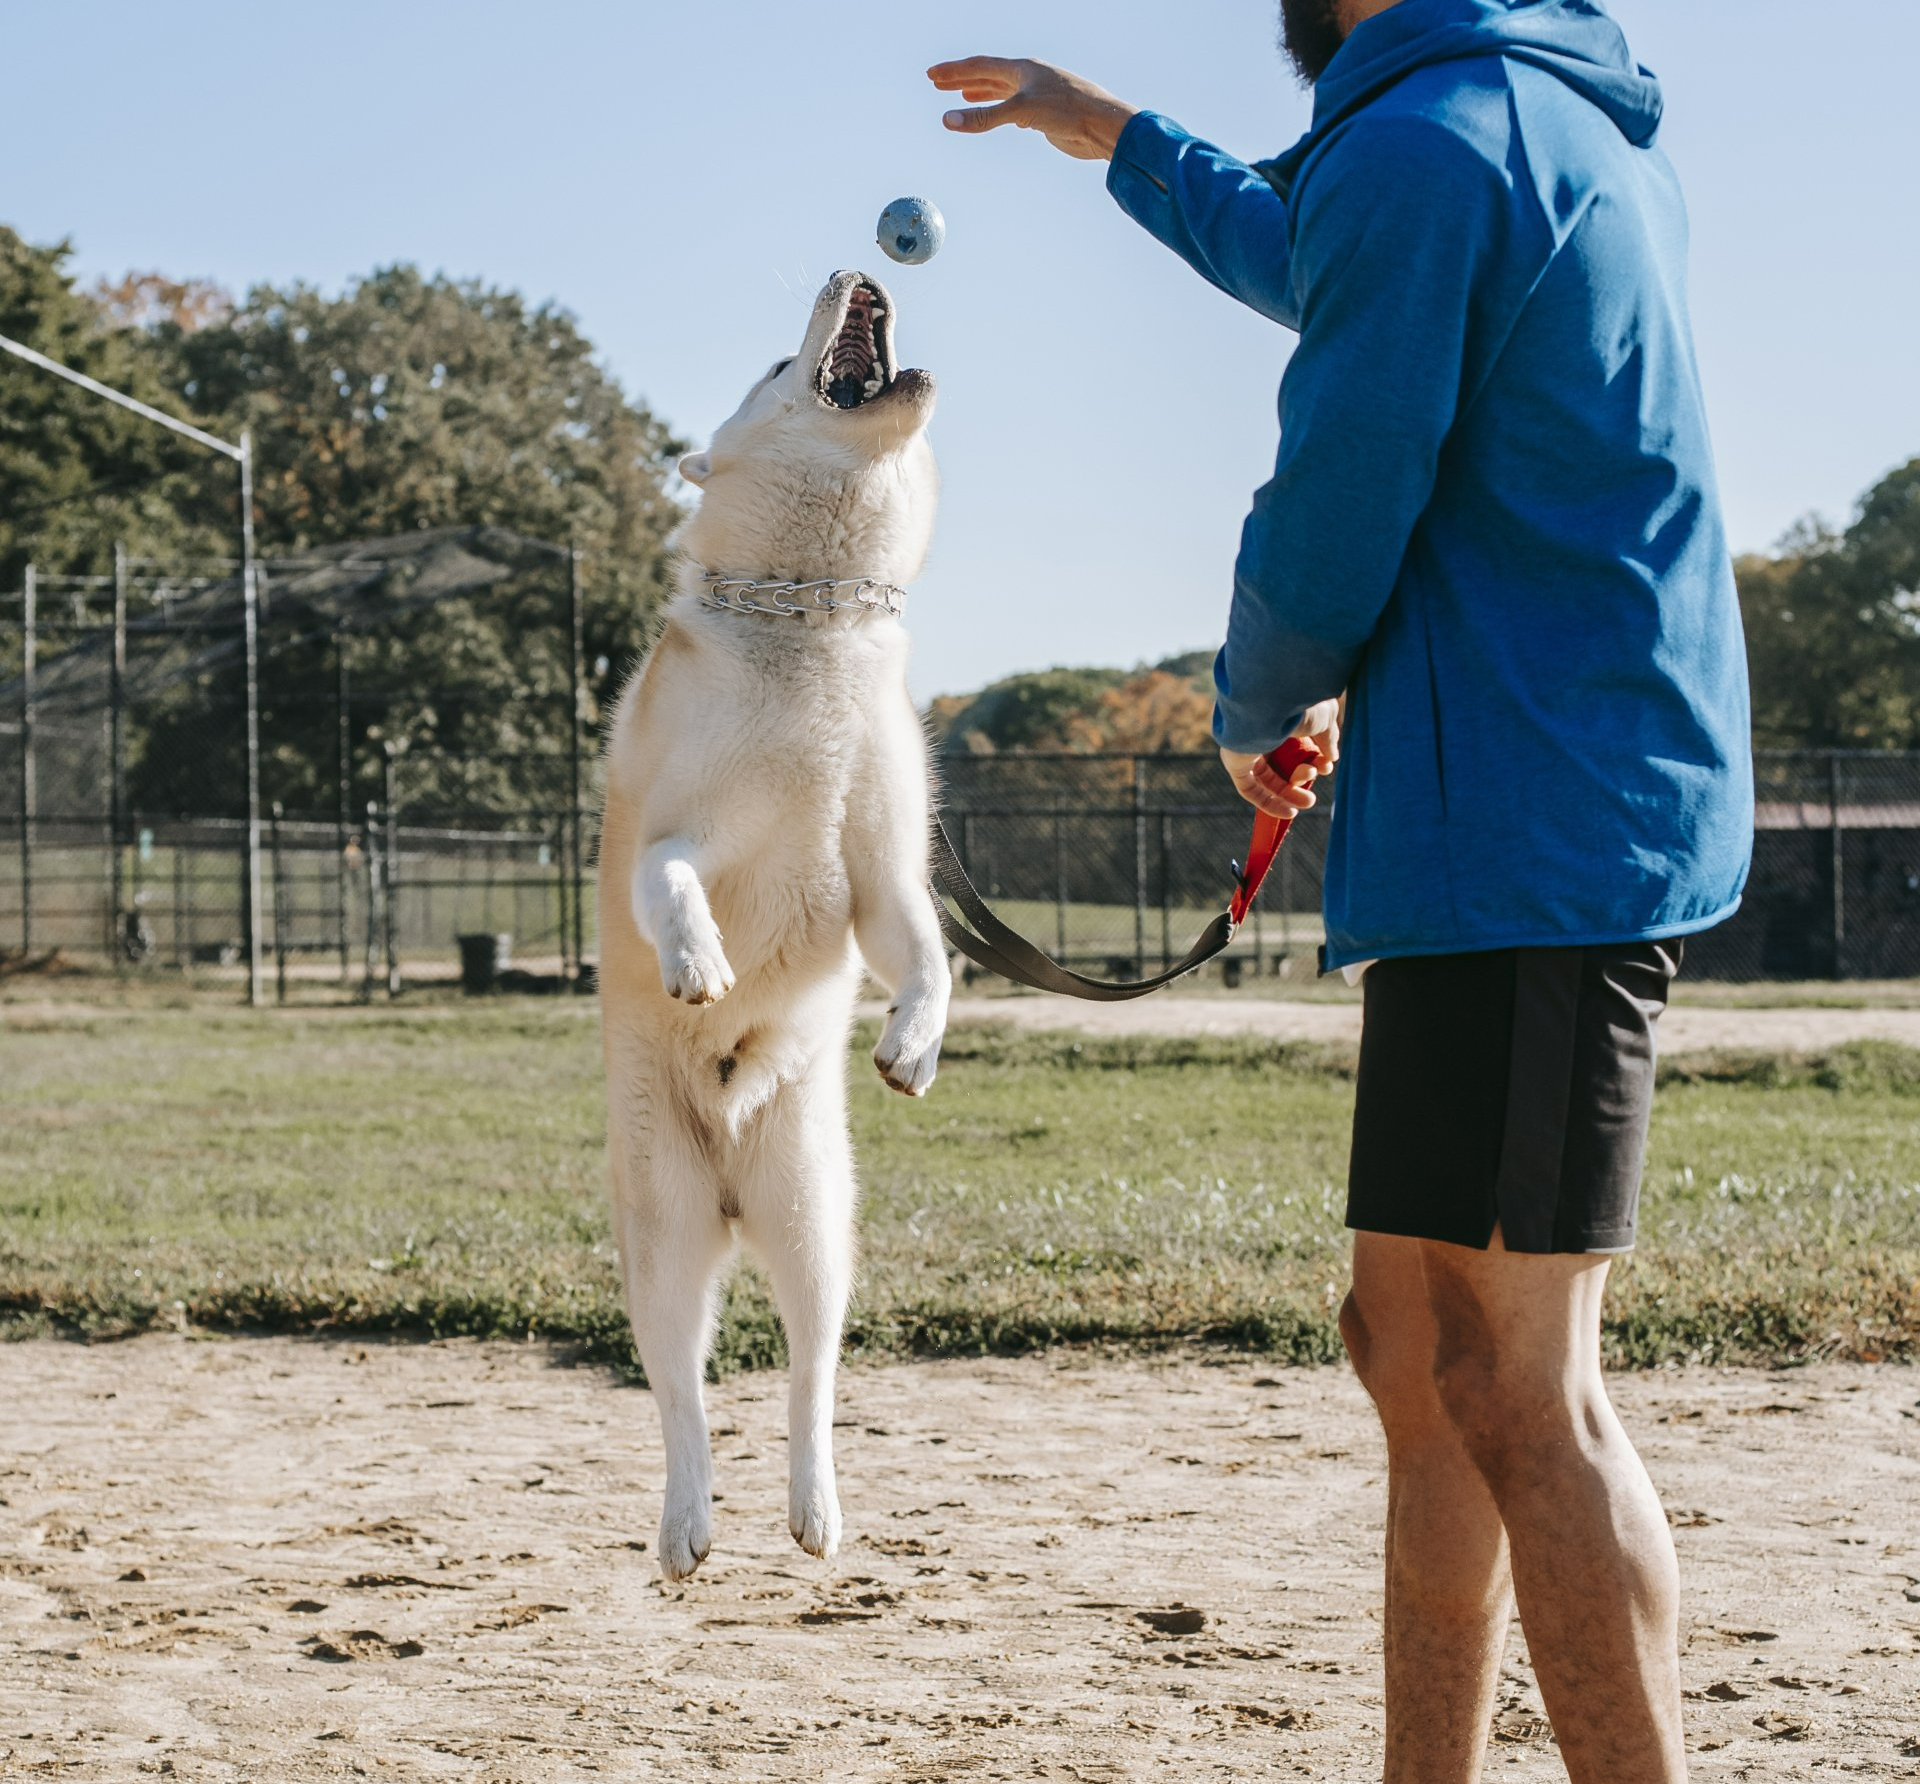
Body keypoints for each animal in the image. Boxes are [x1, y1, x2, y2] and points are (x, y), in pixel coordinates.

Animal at [597, 270, 950, 1581]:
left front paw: (912, 1043)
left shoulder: (885, 880)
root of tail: (736, 1188)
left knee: (810, 1374)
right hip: (665, 1238)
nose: (855, 268)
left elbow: (930, 958)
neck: (818, 626)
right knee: (681, 1394)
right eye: (769, 362)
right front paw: (699, 961)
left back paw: (815, 1506)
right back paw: (687, 1522)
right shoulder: (678, 837)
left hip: (813, 1229)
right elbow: (671, 886)